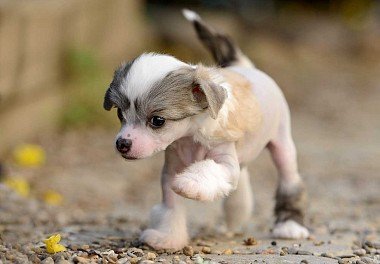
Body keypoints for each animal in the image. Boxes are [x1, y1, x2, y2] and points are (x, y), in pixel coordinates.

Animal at [103, 9, 308, 250]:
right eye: (120, 113)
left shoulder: (225, 162)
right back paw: (234, 219)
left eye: (157, 120)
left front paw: (191, 183)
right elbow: (171, 207)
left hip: (283, 145)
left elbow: (207, 170)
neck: (191, 136)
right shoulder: (171, 169)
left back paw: (290, 225)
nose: (122, 144)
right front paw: (167, 237)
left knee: (289, 181)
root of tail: (246, 67)